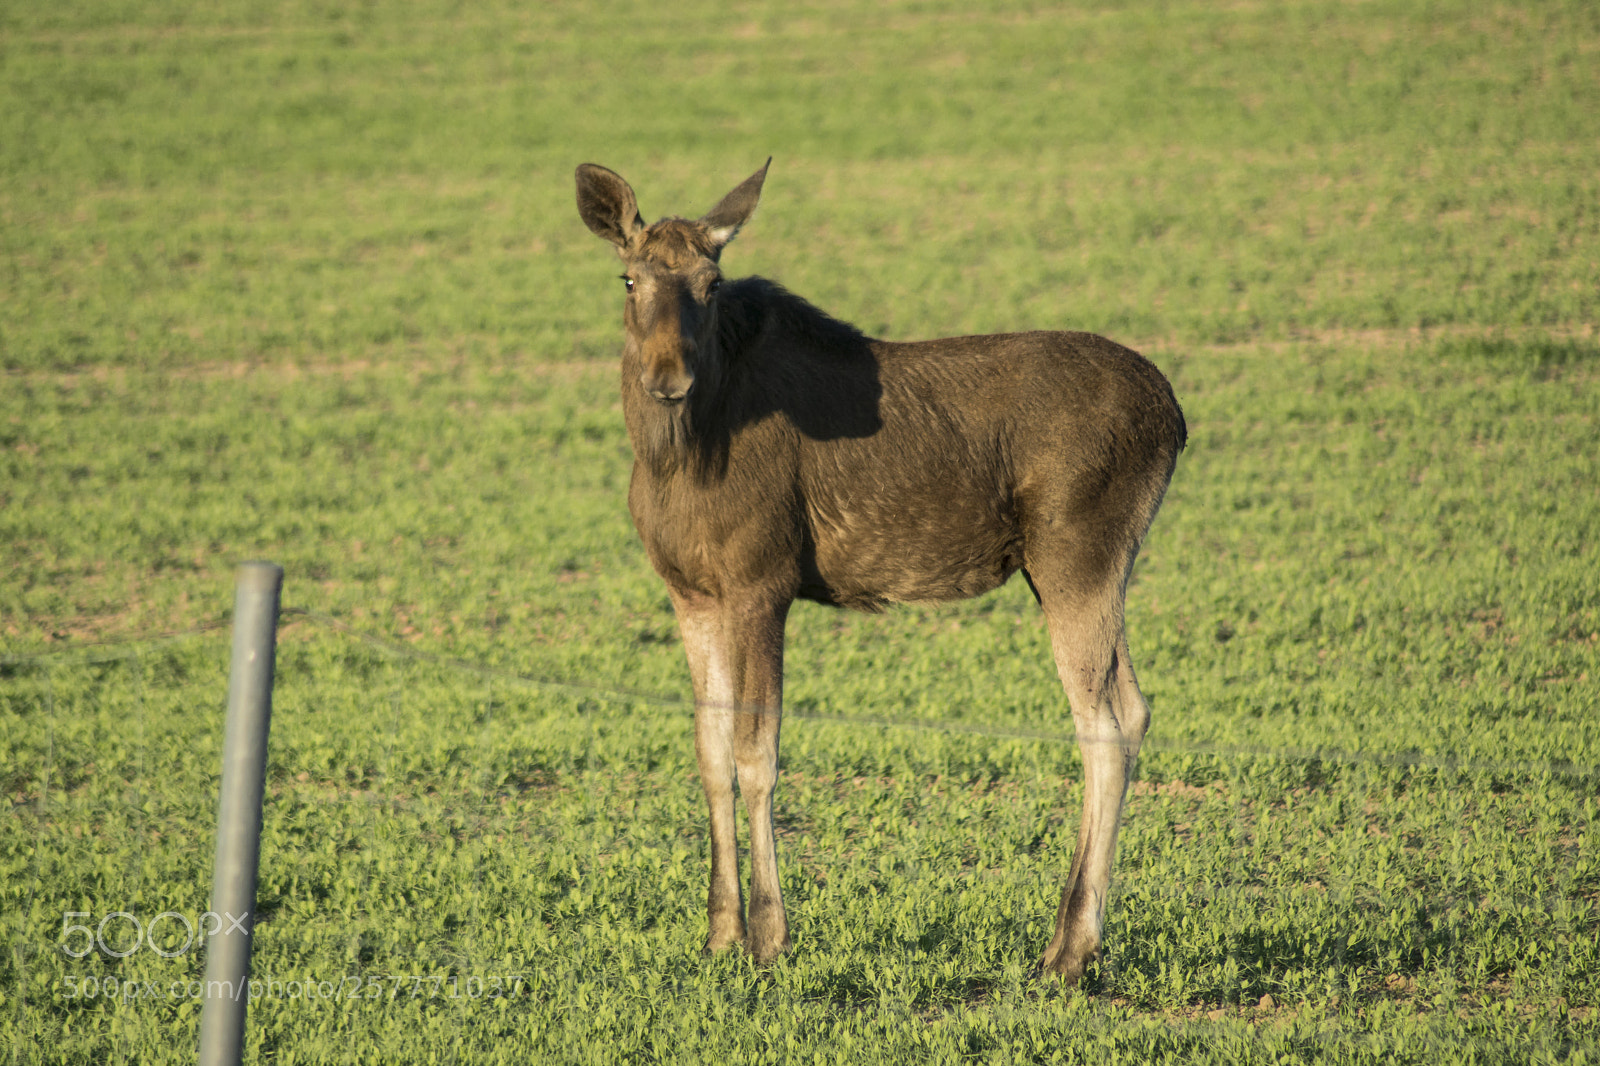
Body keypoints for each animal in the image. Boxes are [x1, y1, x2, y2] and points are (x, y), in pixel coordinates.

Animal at [574, 159, 1186, 983]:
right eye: (629, 278)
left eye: (711, 281)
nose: (668, 376)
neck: (676, 456)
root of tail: (1176, 418)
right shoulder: (691, 593)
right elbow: (709, 751)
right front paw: (718, 933)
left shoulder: (762, 583)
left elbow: (757, 753)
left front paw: (769, 937)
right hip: (1088, 567)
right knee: (1133, 708)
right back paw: (1070, 939)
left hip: (1077, 556)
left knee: (1105, 725)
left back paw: (1069, 948)